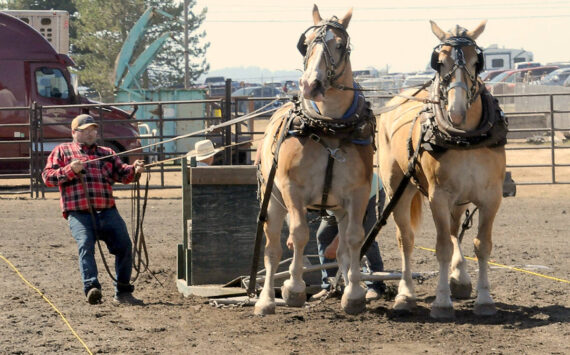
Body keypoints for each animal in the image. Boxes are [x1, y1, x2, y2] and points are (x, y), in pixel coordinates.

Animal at [255, 5, 374, 316]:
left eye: (341, 45)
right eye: (306, 44)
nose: (311, 84)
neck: (328, 127)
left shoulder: (358, 193)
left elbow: (354, 238)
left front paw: (354, 294)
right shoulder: (291, 188)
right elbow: (298, 235)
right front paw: (294, 288)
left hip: (338, 209)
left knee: (342, 247)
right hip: (272, 200)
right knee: (272, 249)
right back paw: (265, 300)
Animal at [378, 20, 506, 320]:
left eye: (476, 61)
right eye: (440, 61)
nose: (457, 112)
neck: (465, 138)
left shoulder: (491, 197)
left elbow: (482, 245)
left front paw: (484, 299)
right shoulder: (438, 197)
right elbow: (442, 248)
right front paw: (442, 302)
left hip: (460, 198)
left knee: (454, 228)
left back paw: (460, 279)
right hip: (398, 189)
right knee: (406, 239)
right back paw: (405, 295)